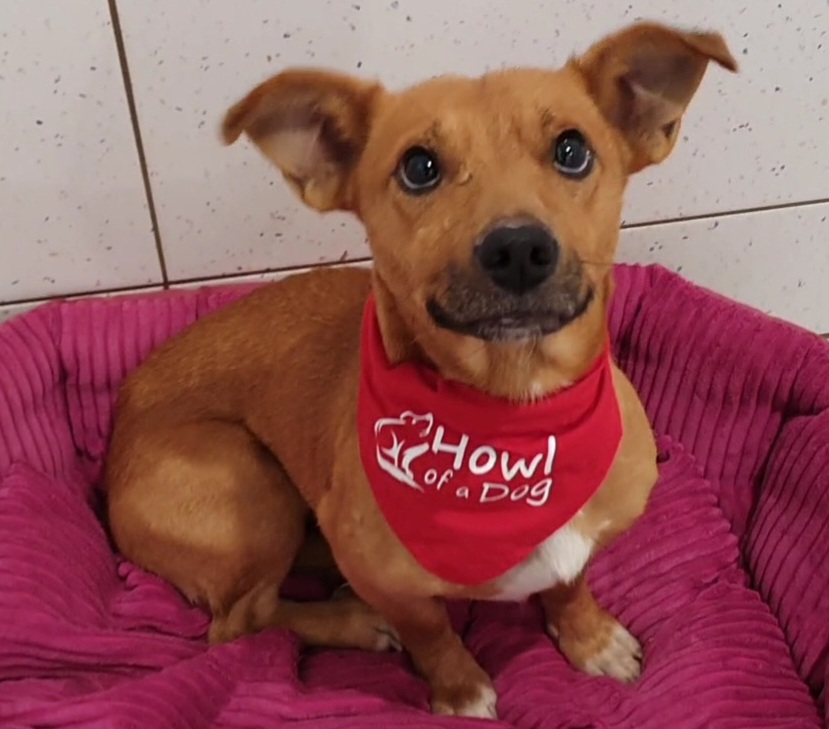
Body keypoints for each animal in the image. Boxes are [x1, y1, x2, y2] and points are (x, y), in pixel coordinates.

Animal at [106, 21, 736, 716]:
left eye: (572, 150)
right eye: (419, 167)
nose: (519, 248)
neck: (513, 416)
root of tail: (119, 431)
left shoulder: (582, 543)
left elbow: (569, 584)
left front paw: (588, 638)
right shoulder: (390, 582)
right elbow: (429, 630)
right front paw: (460, 689)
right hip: (248, 484)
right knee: (240, 620)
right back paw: (350, 620)